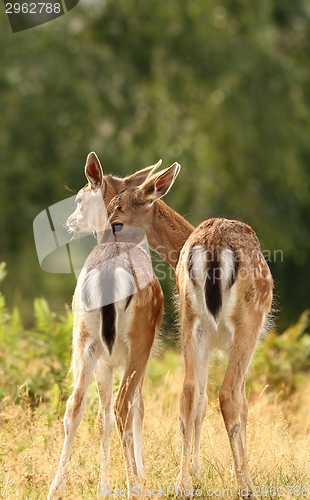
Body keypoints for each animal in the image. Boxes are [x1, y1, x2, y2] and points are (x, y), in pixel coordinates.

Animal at [47, 154, 163, 498]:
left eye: (79, 199)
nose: (70, 221)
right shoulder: (141, 350)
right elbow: (138, 407)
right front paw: (139, 477)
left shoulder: (105, 359)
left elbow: (101, 417)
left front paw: (104, 486)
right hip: (136, 341)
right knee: (125, 405)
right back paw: (134, 484)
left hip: (84, 339)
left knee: (75, 405)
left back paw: (55, 487)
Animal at [107, 162, 274, 498]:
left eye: (116, 219)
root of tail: (211, 249)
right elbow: (242, 403)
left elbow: (199, 399)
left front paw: (196, 473)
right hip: (246, 321)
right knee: (228, 393)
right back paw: (244, 485)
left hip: (189, 318)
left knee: (187, 391)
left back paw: (182, 484)